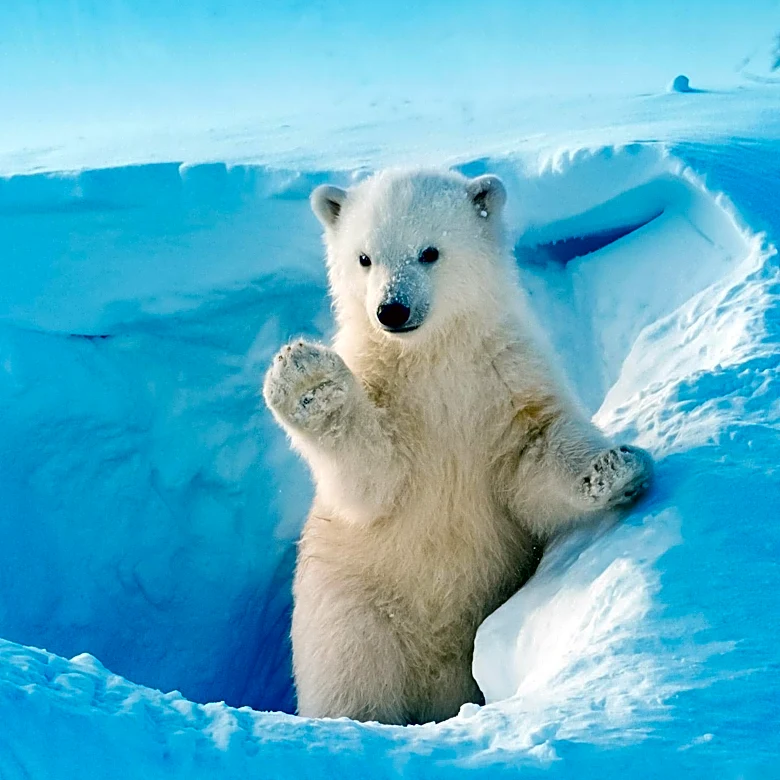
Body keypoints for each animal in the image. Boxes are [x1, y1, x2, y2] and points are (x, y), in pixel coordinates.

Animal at [262, 168, 653, 725]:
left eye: (429, 252)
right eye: (364, 258)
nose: (391, 310)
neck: (431, 357)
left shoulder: (505, 377)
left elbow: (533, 454)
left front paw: (615, 467)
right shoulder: (385, 390)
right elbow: (373, 478)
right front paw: (306, 380)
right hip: (353, 611)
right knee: (353, 681)